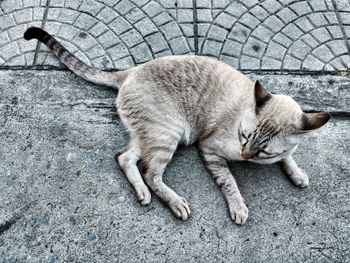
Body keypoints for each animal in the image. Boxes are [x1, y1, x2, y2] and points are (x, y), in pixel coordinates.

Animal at [23, 26, 330, 225]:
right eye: (243, 137)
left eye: (263, 151)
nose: (244, 155)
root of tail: (130, 71)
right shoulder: (210, 150)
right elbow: (229, 182)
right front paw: (239, 206)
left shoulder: (283, 148)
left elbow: (289, 157)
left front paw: (297, 173)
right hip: (169, 134)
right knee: (150, 173)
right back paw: (175, 202)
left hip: (152, 135)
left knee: (125, 158)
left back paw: (143, 194)